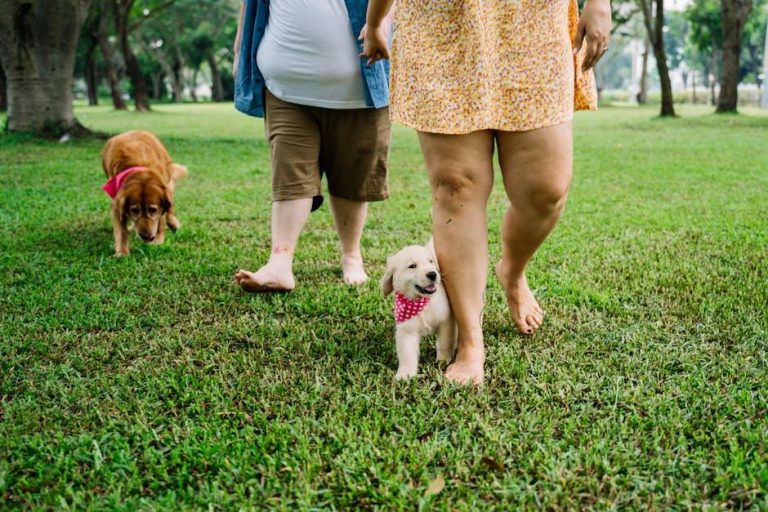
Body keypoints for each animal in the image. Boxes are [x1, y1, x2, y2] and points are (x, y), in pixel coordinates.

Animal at [380, 240, 456, 380]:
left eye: (430, 261)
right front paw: (405, 373)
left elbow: (444, 342)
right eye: (412, 266)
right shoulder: (406, 330)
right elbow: (407, 353)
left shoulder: (446, 321)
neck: (420, 302)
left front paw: (443, 360)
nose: (432, 274)